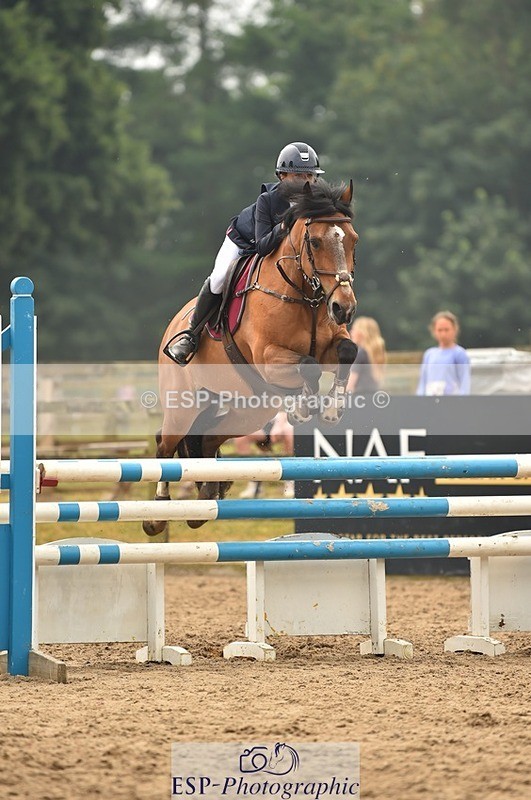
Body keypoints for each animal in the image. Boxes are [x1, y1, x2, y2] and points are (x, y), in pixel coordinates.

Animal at [143, 179, 359, 536]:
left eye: (354, 240)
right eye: (315, 241)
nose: (345, 307)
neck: (305, 295)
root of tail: (173, 324)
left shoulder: (332, 343)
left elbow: (346, 351)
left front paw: (331, 409)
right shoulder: (269, 356)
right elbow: (309, 368)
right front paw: (303, 408)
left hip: (249, 411)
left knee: (206, 439)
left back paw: (205, 500)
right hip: (184, 404)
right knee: (165, 443)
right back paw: (157, 515)